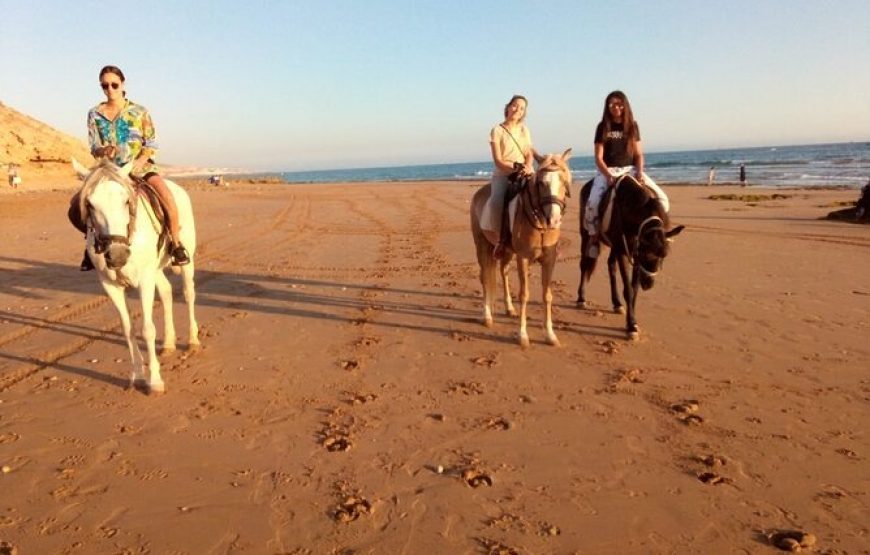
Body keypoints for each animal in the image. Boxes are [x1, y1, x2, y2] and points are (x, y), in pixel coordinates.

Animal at [71, 158, 199, 393]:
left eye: (126, 201)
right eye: (90, 204)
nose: (117, 254)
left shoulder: (144, 281)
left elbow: (147, 329)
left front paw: (155, 380)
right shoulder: (110, 285)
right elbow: (128, 330)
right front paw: (138, 376)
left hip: (186, 261)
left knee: (188, 293)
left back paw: (193, 340)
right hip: (156, 269)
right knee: (167, 292)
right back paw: (169, 343)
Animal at [471, 149, 573, 348]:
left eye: (564, 181)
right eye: (541, 183)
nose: (554, 220)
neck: (539, 222)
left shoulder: (549, 260)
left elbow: (547, 295)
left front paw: (550, 335)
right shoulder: (523, 258)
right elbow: (524, 294)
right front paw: (522, 336)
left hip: (506, 251)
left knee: (503, 272)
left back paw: (509, 309)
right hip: (482, 246)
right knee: (485, 277)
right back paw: (487, 316)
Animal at [576, 174, 684, 340]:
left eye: (663, 256)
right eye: (646, 253)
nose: (648, 284)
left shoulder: (632, 252)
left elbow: (634, 289)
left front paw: (631, 321)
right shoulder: (626, 253)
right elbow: (628, 289)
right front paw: (632, 325)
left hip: (614, 246)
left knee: (610, 265)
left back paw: (617, 303)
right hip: (586, 234)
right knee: (584, 265)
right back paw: (581, 298)